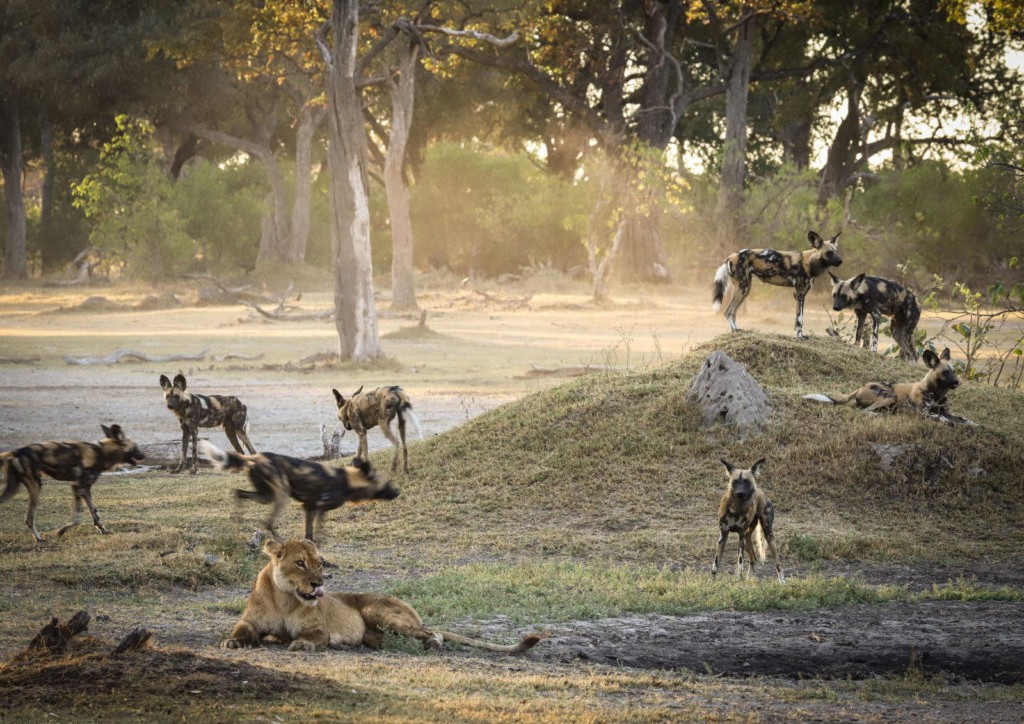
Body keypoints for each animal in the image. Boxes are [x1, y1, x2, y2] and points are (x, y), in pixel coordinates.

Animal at [0, 423, 144, 544]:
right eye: (136, 447)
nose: (143, 455)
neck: (101, 453)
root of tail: (15, 452)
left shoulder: (85, 489)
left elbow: (95, 513)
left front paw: (103, 530)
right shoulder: (77, 486)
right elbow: (77, 518)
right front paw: (61, 531)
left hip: (13, 488)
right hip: (36, 487)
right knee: (29, 519)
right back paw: (39, 539)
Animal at [197, 436, 397, 544]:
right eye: (387, 483)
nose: (398, 492)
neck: (348, 481)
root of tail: (255, 457)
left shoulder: (309, 507)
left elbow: (309, 534)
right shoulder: (320, 508)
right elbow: (318, 530)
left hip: (265, 496)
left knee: (238, 493)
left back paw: (236, 519)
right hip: (281, 495)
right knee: (267, 522)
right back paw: (280, 541)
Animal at [224, 540, 544, 655]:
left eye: (319, 563)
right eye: (300, 563)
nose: (319, 584)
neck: (285, 597)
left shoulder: (319, 629)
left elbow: (312, 638)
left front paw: (300, 644)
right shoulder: (251, 621)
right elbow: (242, 630)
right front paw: (234, 642)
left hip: (380, 612)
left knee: (433, 632)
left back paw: (431, 644)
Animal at [708, 230, 843, 342]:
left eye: (836, 252)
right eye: (829, 253)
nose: (841, 261)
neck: (809, 263)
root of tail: (731, 256)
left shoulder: (801, 295)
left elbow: (801, 318)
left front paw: (801, 335)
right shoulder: (799, 294)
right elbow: (799, 319)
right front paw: (799, 336)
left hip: (745, 290)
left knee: (733, 312)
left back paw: (737, 332)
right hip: (742, 287)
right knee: (728, 312)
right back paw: (736, 331)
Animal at [802, 346, 970, 423]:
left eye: (954, 371)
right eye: (945, 372)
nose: (957, 382)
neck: (937, 394)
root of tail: (861, 387)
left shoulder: (945, 411)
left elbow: (964, 419)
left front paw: (970, 424)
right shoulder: (923, 413)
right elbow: (944, 419)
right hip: (889, 397)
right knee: (865, 411)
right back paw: (880, 415)